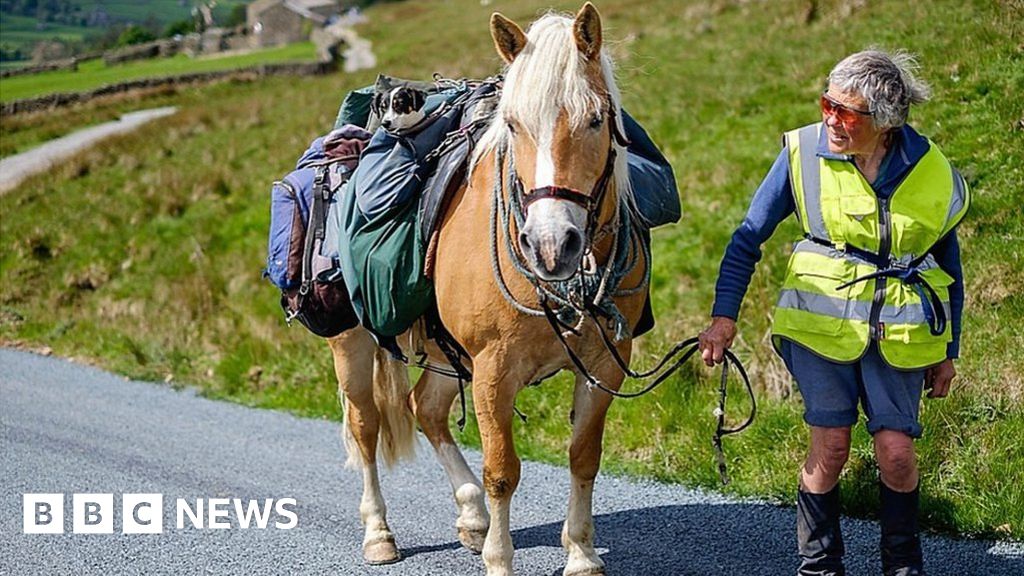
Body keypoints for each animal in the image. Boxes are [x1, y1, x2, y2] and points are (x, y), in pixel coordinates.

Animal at [327, 4, 649, 575]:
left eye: (595, 119)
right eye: (514, 123)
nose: (551, 245)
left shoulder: (604, 365)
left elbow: (583, 458)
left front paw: (581, 551)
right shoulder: (493, 371)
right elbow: (502, 469)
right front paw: (501, 559)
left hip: (444, 351)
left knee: (425, 408)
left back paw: (471, 516)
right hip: (354, 344)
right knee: (366, 428)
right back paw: (379, 532)